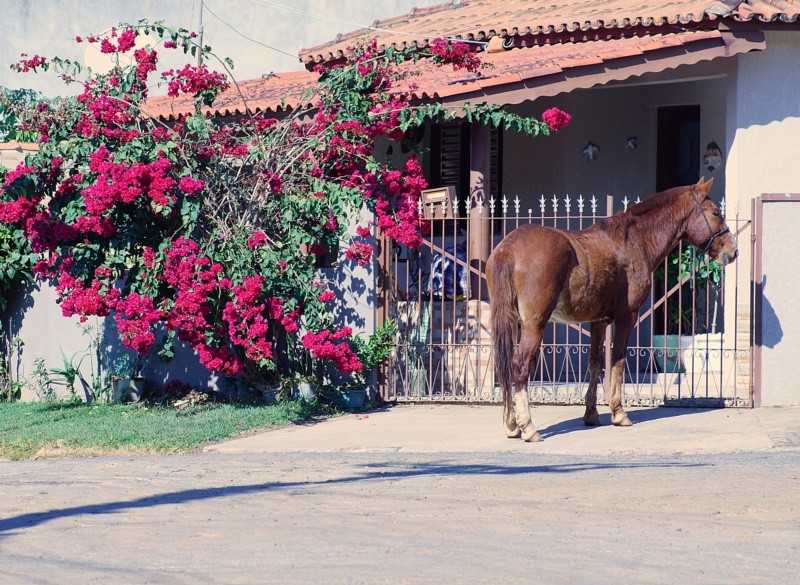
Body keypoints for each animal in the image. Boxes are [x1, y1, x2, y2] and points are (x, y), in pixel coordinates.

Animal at [482, 176, 736, 440]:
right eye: (716, 212)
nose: (733, 250)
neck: (632, 241)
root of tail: (508, 248)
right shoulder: (626, 317)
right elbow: (618, 360)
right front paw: (619, 413)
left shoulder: (599, 321)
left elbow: (595, 363)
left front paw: (591, 415)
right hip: (534, 325)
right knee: (520, 366)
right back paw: (528, 427)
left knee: (506, 365)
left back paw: (512, 425)